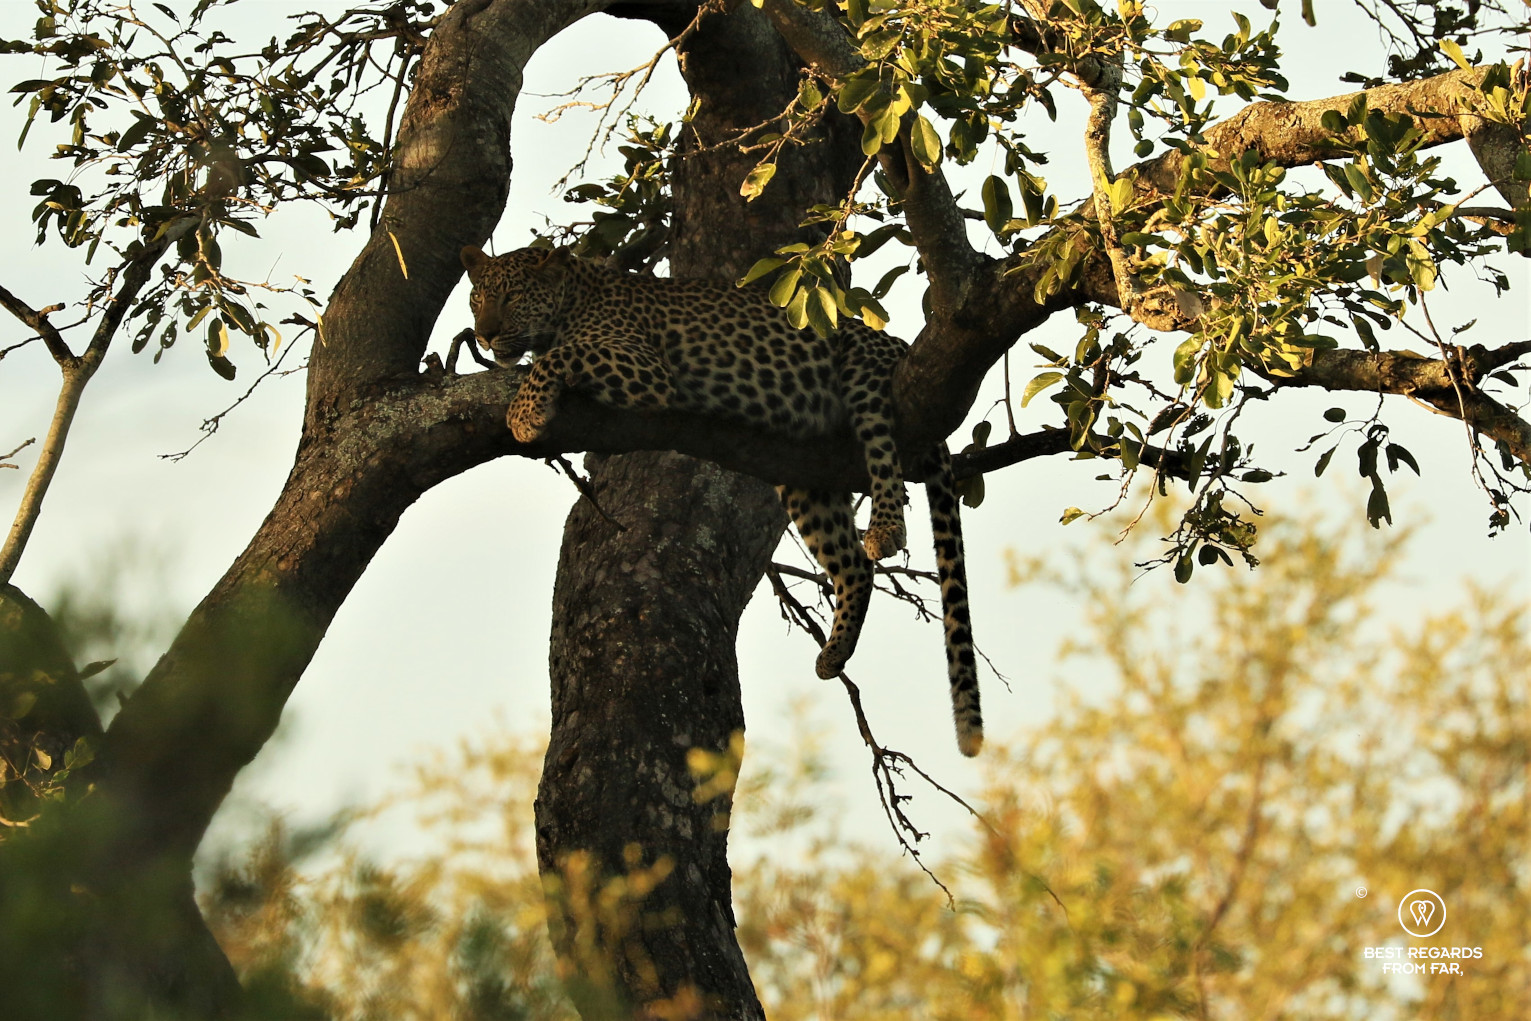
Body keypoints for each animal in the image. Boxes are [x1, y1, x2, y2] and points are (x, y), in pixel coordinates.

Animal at [461, 244, 983, 756]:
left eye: (511, 297)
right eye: (477, 299)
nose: (484, 335)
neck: (571, 298)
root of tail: (898, 345)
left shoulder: (645, 367)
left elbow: (558, 357)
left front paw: (523, 413)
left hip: (864, 370)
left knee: (884, 456)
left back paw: (886, 531)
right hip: (803, 477)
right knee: (853, 563)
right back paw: (834, 653)